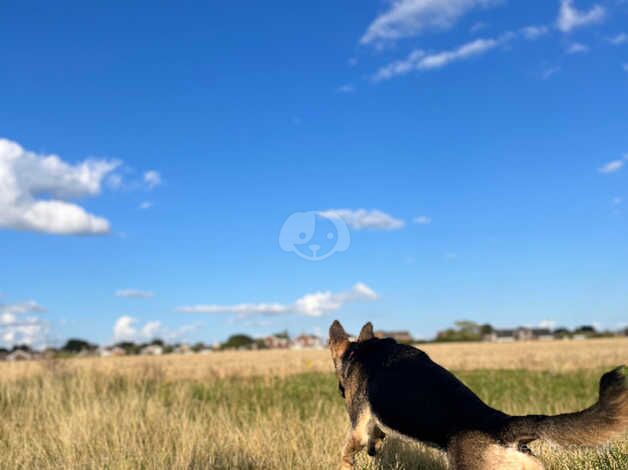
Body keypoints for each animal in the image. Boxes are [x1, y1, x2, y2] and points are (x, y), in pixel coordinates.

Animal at [328, 320, 628, 470]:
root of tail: (503, 425)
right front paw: (375, 447)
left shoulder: (358, 422)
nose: (340, 391)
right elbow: (374, 434)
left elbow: (348, 449)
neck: (363, 350)